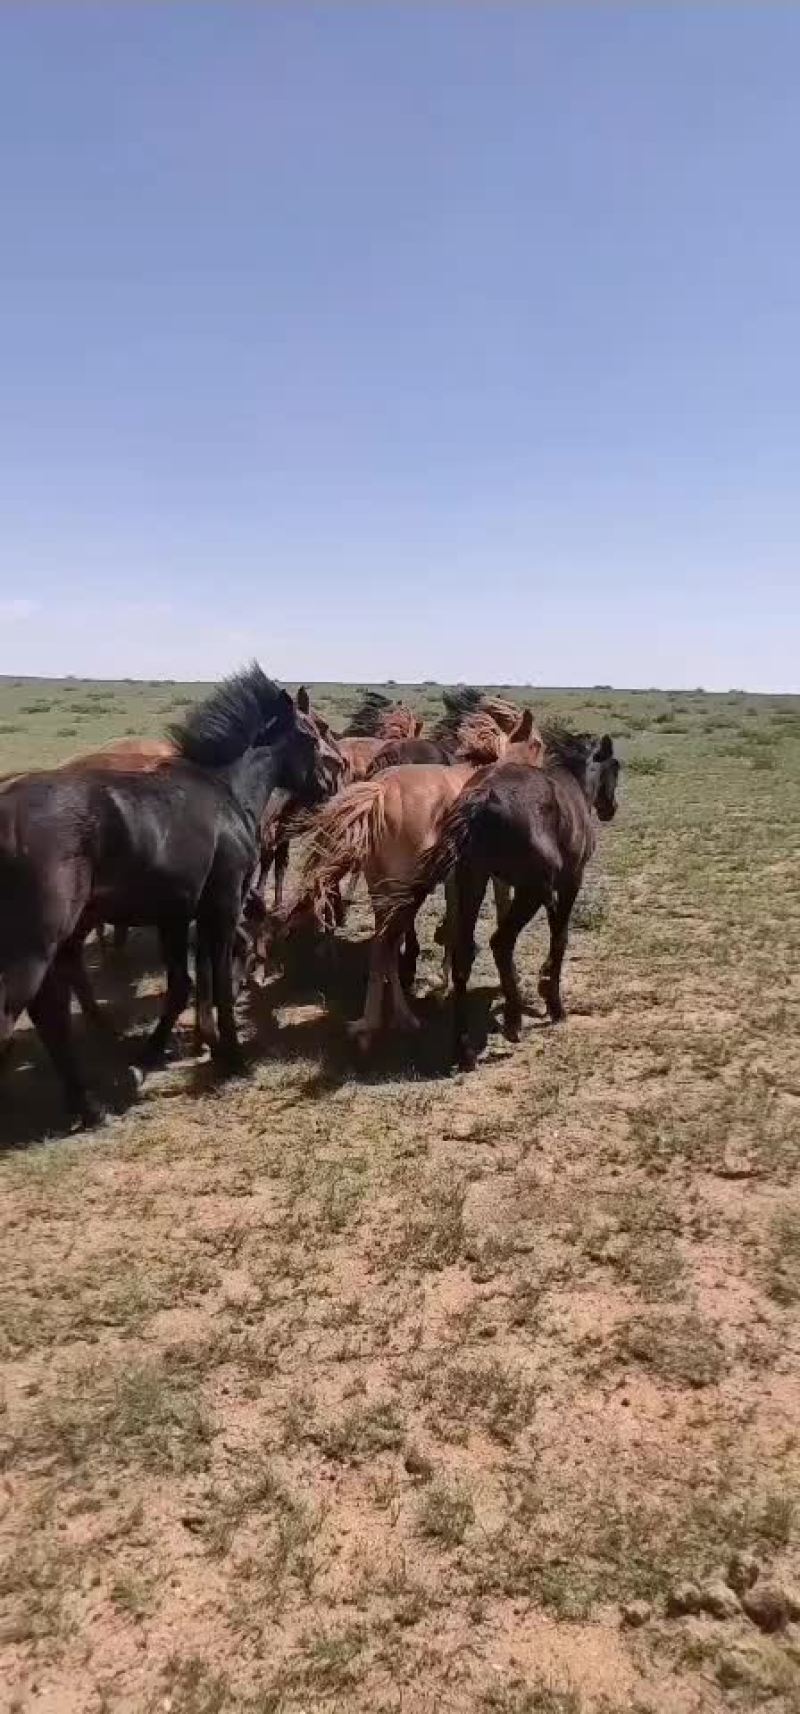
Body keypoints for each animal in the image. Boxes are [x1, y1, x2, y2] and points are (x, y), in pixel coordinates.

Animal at [0, 665, 336, 1127]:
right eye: (314, 734)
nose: (330, 783)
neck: (226, 790)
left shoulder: (175, 914)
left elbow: (184, 984)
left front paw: (152, 1057)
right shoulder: (222, 904)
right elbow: (219, 978)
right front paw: (232, 1056)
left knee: (51, 1014)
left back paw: (87, 1102)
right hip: (34, 946)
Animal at [276, 709, 543, 1047]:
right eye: (538, 743)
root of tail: (379, 792)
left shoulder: (454, 879)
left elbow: (453, 921)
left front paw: (443, 976)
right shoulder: (491, 877)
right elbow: (492, 914)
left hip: (384, 890)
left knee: (385, 945)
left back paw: (394, 1017)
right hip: (402, 891)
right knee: (386, 945)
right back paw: (379, 1023)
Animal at [383, 731, 620, 1069]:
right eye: (616, 767)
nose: (610, 807)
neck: (572, 786)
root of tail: (481, 799)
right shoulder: (569, 882)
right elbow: (560, 936)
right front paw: (554, 1004)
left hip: (473, 880)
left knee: (464, 953)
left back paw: (464, 1050)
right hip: (527, 891)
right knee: (501, 942)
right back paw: (512, 1023)